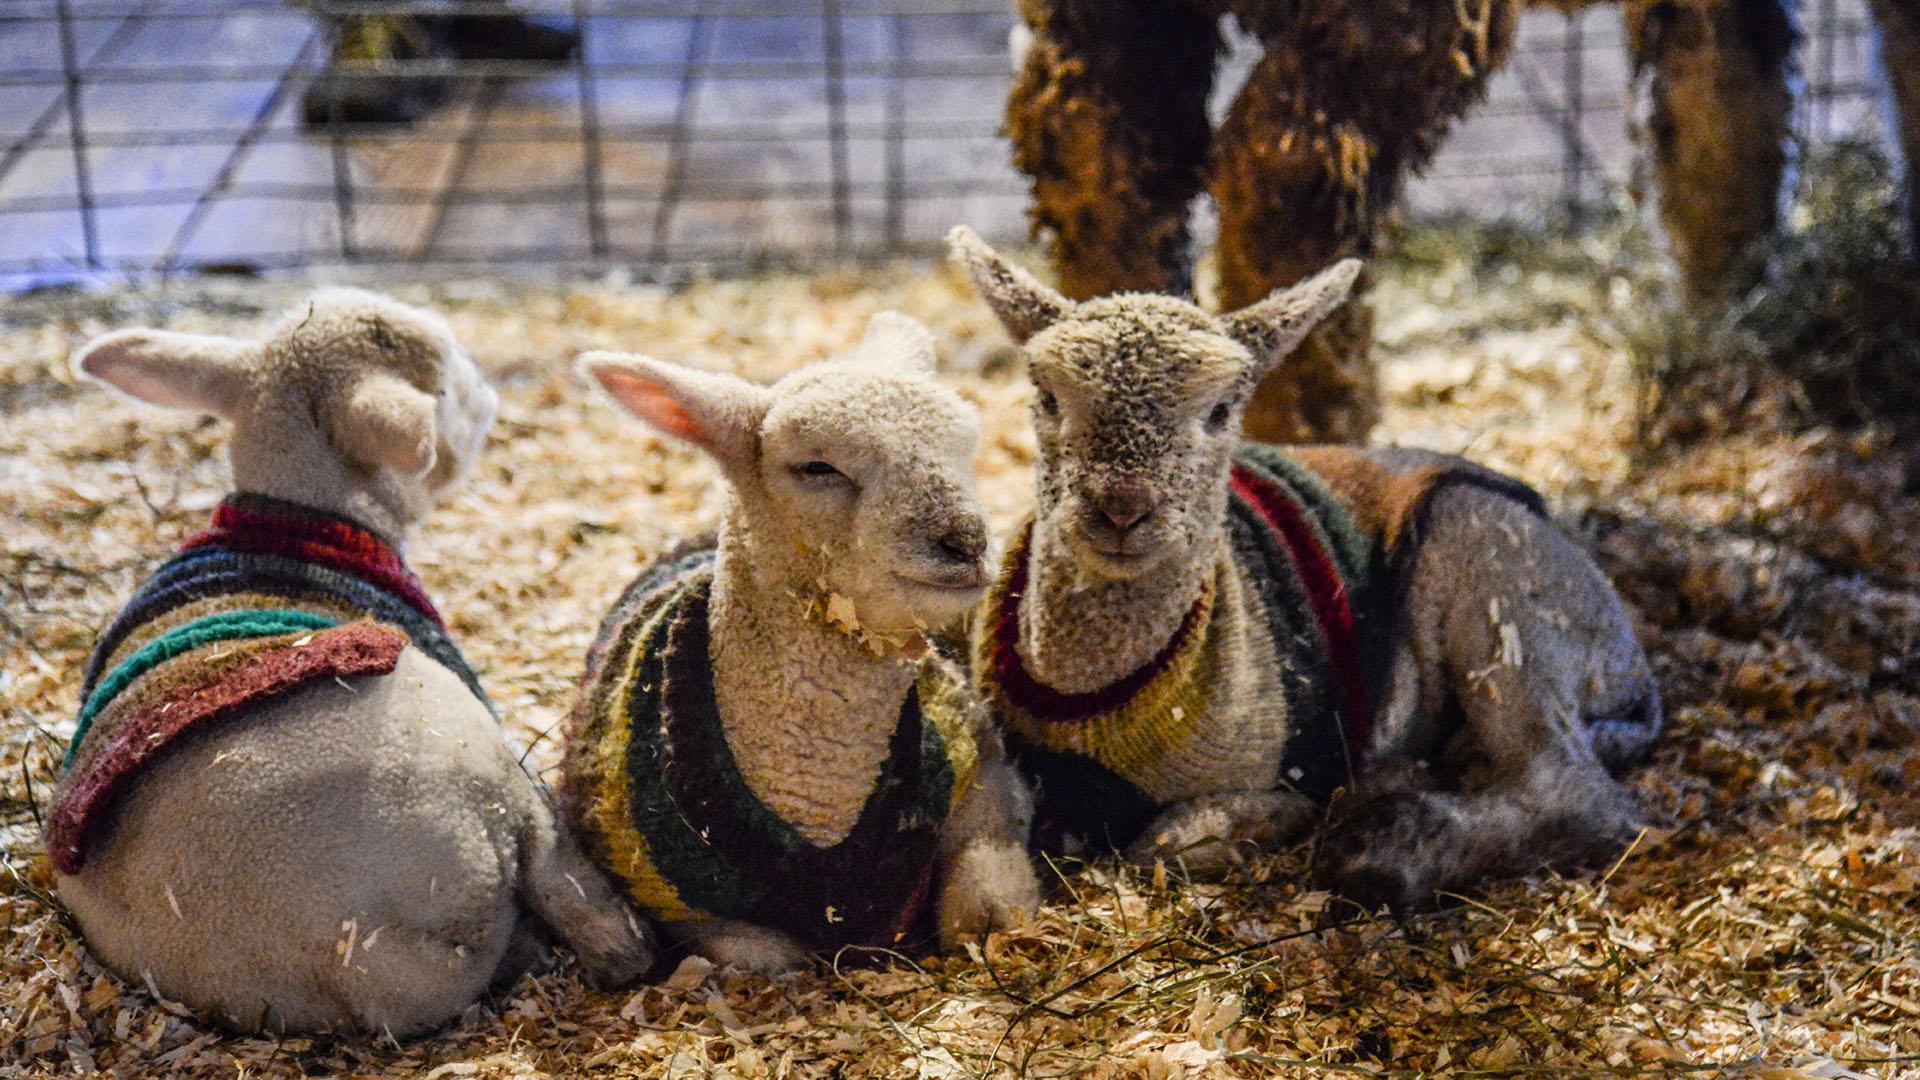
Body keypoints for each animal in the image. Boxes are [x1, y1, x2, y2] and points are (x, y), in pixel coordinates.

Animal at [51, 290, 653, 1038]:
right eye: (444, 383)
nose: (485, 390)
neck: (306, 511)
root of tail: (354, 953)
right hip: (484, 764)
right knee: (558, 867)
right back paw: (623, 944)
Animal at [562, 312, 1041, 974]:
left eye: (965, 449)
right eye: (818, 467)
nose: (965, 542)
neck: (820, 801)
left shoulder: (989, 775)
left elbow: (989, 904)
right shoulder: (668, 894)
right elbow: (764, 953)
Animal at [950, 227, 1664, 911]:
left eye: (1221, 411)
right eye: (1047, 397)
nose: (1123, 507)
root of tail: (1630, 662)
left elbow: (1166, 842)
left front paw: (1274, 819)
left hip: (1493, 568)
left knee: (1583, 796)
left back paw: (1384, 849)